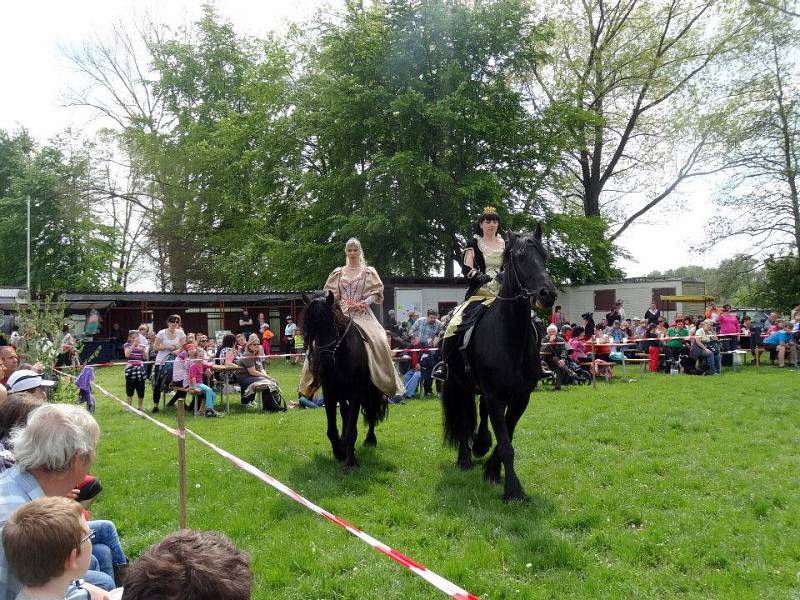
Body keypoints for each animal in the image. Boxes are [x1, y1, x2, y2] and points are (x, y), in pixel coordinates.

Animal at [300, 290, 388, 468]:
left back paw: (369, 440)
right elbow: (332, 428)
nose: (325, 362)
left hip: (370, 390)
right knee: (345, 413)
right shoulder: (330, 392)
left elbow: (352, 428)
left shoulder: (356, 392)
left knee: (371, 410)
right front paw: (339, 452)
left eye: (331, 324)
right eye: (310, 329)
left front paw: (350, 462)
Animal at [440, 226, 552, 502]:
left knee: (478, 414)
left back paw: (480, 445)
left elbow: (506, 439)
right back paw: (465, 458)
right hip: (458, 385)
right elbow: (505, 443)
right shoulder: (494, 395)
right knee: (463, 418)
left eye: (544, 256)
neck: (509, 337)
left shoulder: (520, 397)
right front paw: (513, 491)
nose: (548, 294)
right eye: (521, 257)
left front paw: (492, 471)